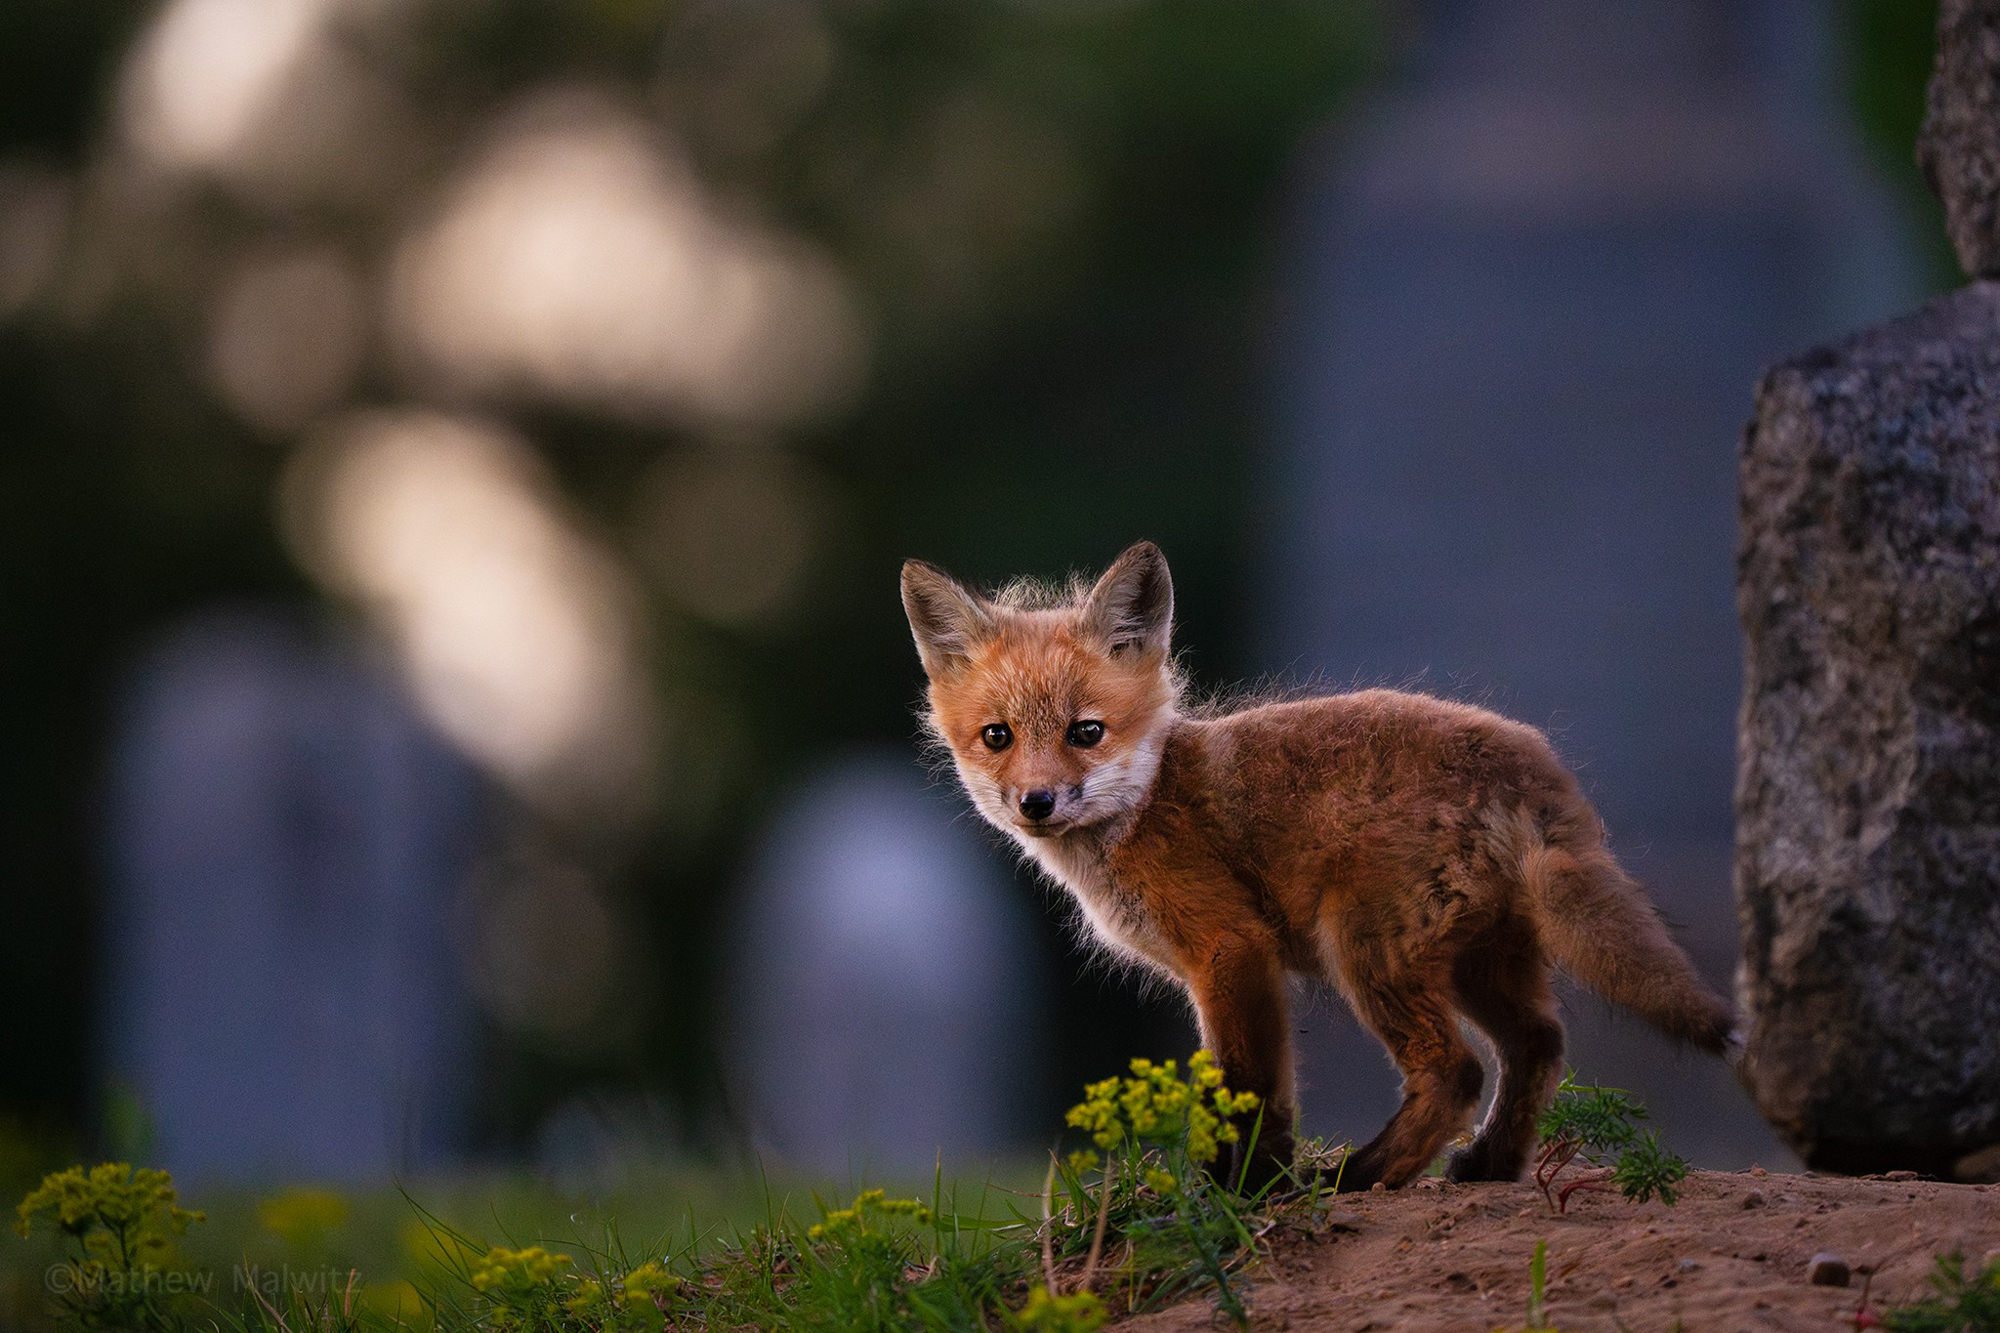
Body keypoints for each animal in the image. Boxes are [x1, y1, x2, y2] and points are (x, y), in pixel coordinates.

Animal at [900, 540, 1735, 1192]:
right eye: (998, 735)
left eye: (1086, 731)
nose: (1036, 802)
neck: (1150, 800)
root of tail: (1527, 760)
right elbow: (1249, 1093)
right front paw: (1244, 1185)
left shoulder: (1232, 950)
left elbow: (1251, 1089)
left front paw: (1243, 1190)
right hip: (1480, 961)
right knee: (1537, 1043)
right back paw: (1490, 1165)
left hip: (1366, 954)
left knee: (1456, 1071)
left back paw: (1360, 1175)